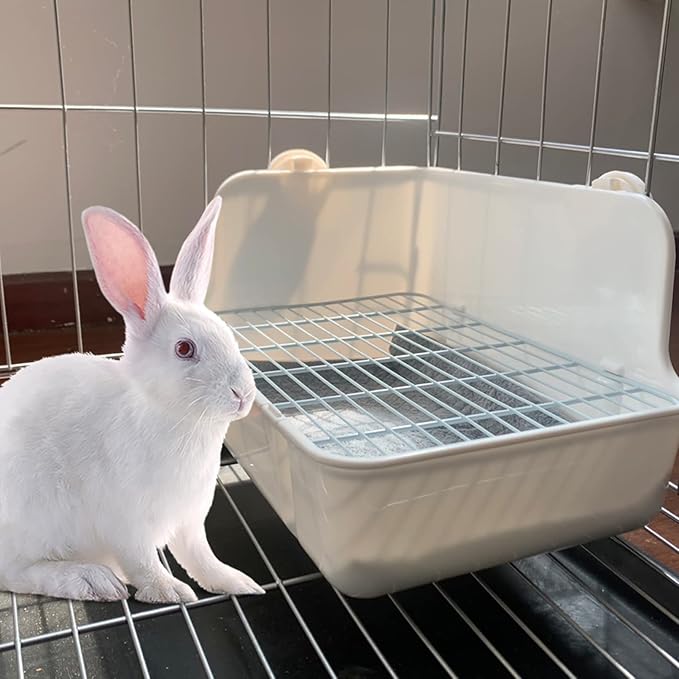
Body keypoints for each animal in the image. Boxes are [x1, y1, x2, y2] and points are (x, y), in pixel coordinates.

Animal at [0, 196, 265, 603]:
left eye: (228, 334)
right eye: (184, 349)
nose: (243, 394)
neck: (177, 420)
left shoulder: (190, 520)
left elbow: (200, 558)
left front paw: (238, 582)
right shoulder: (126, 525)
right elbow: (144, 564)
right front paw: (172, 592)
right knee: (16, 573)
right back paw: (92, 580)